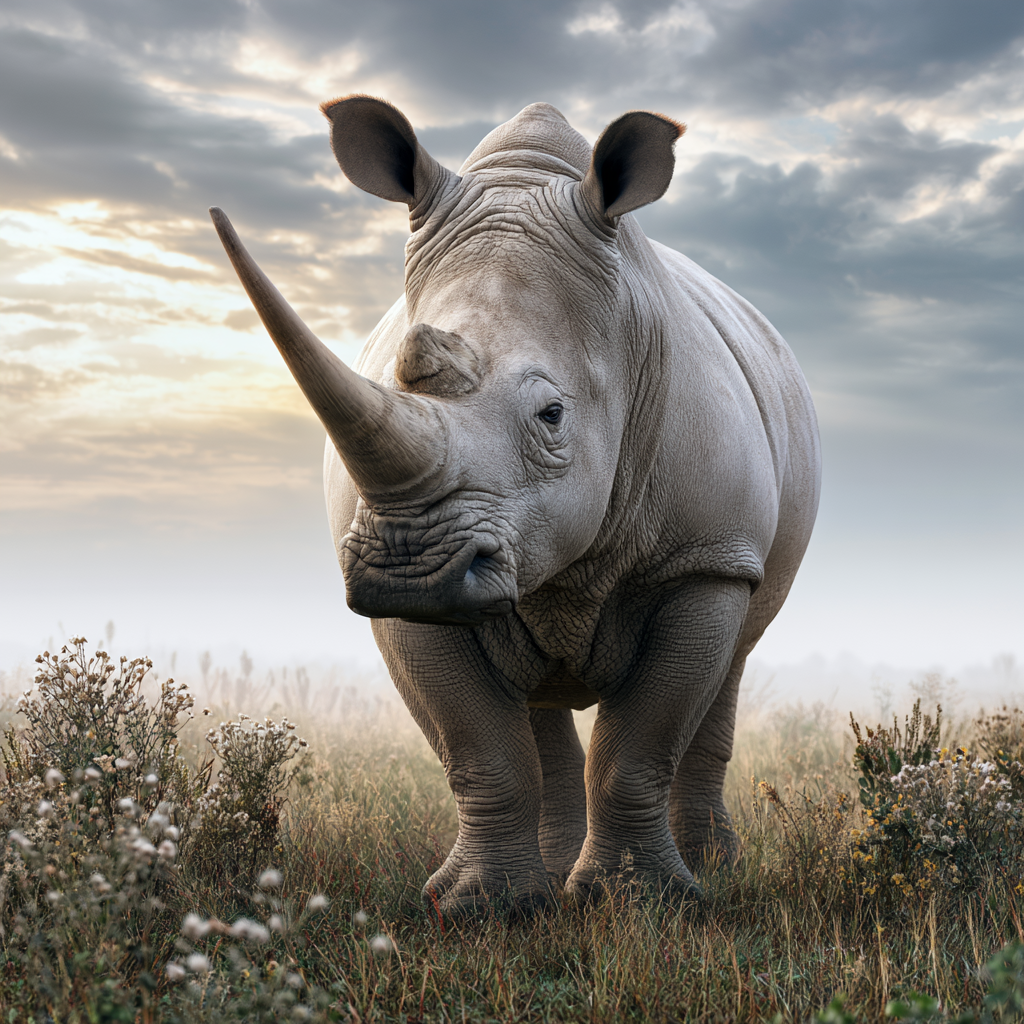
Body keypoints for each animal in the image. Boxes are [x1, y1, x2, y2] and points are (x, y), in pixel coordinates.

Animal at [211, 96, 820, 913]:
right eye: (390, 383)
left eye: (552, 416)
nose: (410, 566)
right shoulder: (414, 599)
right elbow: (480, 748)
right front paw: (484, 909)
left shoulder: (705, 557)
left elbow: (640, 745)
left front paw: (640, 904)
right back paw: (555, 877)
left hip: (740, 552)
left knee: (731, 668)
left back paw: (711, 867)